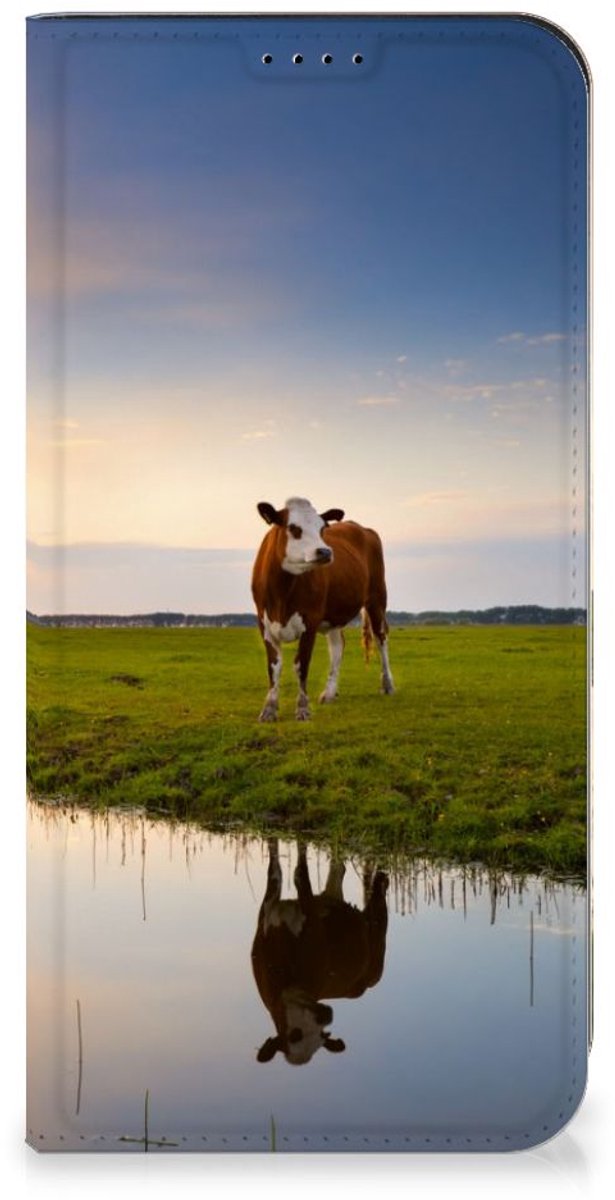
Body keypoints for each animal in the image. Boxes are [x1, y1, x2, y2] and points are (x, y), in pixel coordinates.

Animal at [251, 497, 394, 721]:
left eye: (322, 528)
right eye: (293, 528)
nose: (325, 551)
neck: (282, 592)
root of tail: (362, 528)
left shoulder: (310, 621)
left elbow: (301, 664)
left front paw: (302, 709)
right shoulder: (264, 623)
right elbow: (274, 666)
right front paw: (269, 709)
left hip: (377, 598)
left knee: (381, 639)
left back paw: (387, 684)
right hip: (334, 615)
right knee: (338, 646)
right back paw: (329, 692)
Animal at [251, 839, 389, 1065]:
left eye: (322, 1036)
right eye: (294, 1035)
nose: (326, 1015)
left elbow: (299, 874)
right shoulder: (267, 910)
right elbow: (275, 869)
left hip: (377, 945)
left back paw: (382, 879)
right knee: (338, 869)